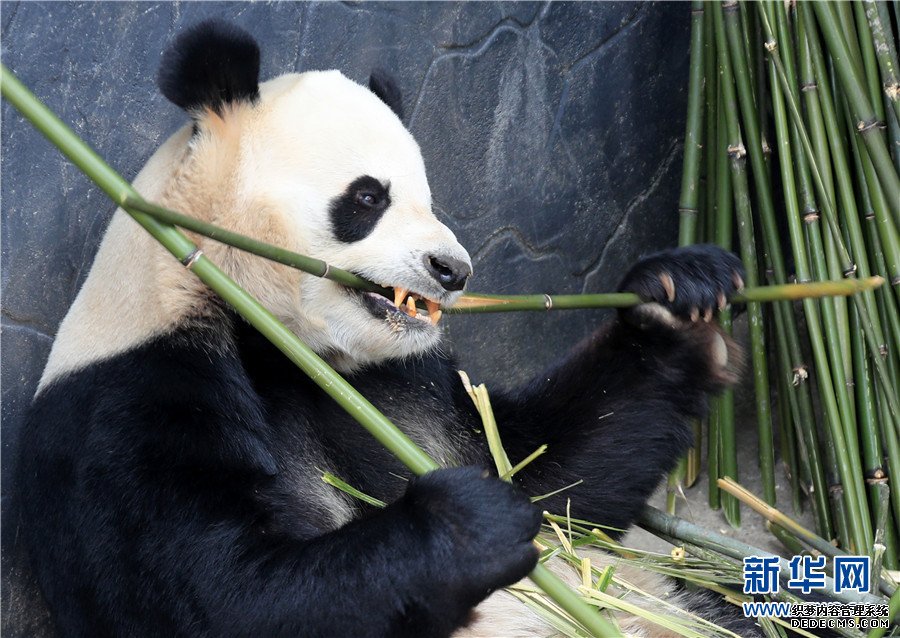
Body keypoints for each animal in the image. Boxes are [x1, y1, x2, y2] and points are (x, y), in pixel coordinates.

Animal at [15, 20, 760, 638]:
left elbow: (550, 473)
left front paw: (679, 295)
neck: (274, 336)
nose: (453, 270)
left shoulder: (405, 381)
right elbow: (222, 596)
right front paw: (472, 522)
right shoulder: (133, 397)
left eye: (428, 200)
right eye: (369, 197)